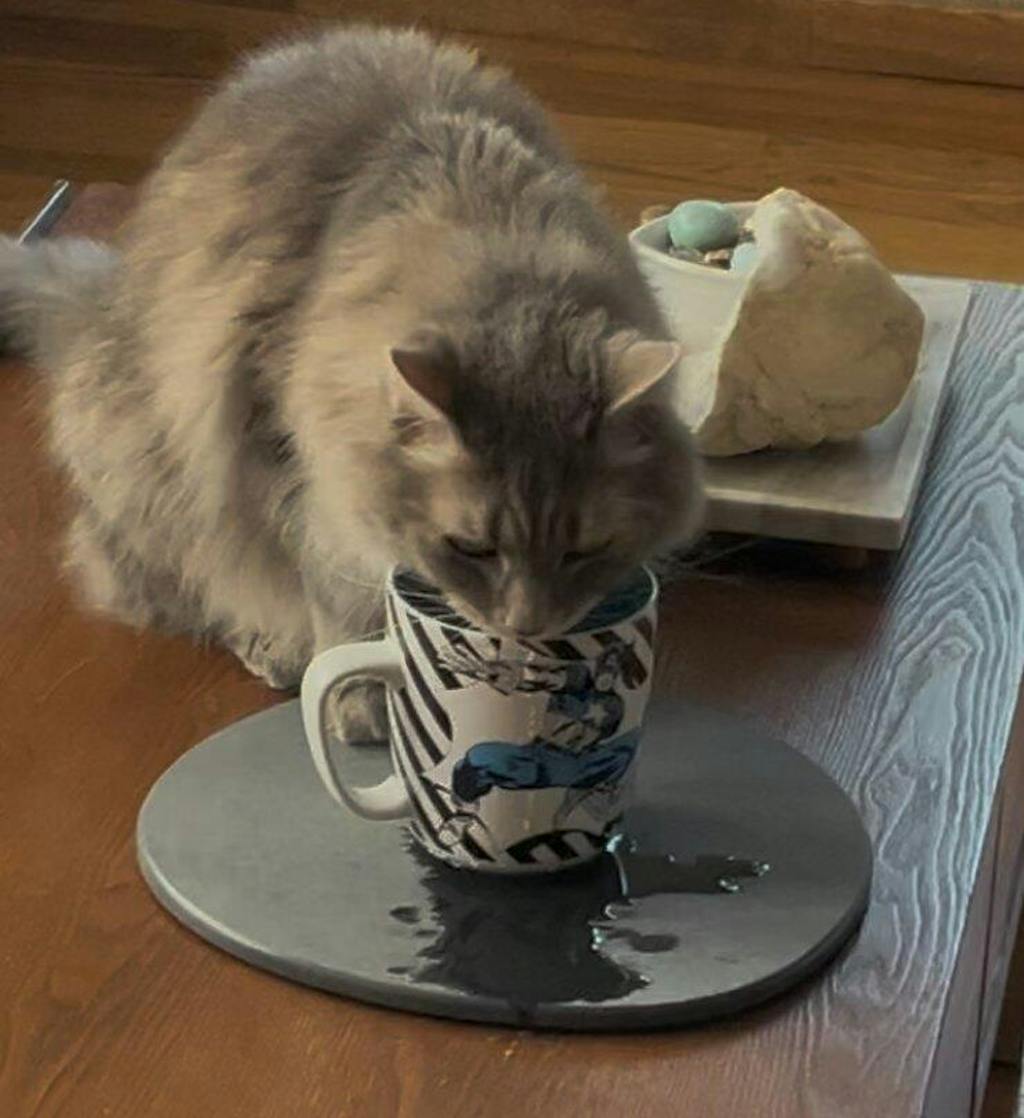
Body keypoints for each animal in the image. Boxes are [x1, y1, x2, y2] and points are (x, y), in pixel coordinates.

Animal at [0, 26, 703, 737]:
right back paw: (271, 647)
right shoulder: (287, 468)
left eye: (584, 550)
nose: (525, 626)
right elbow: (338, 600)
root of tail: (97, 304)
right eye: (471, 548)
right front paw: (362, 699)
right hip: (148, 466)